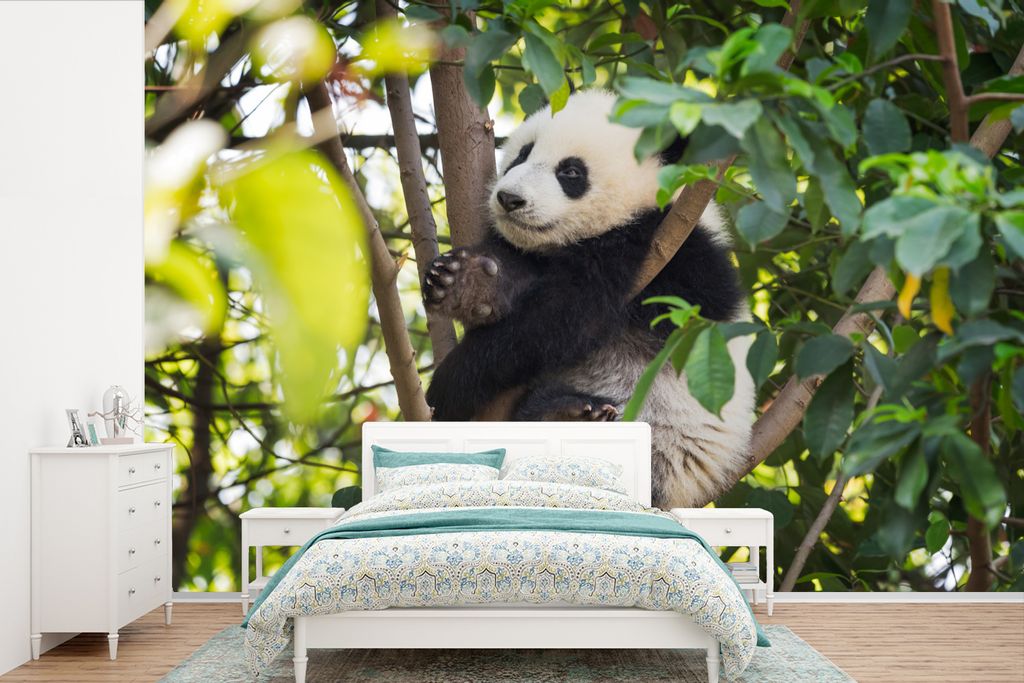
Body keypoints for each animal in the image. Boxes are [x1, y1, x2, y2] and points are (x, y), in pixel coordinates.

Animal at [422, 90, 755, 509]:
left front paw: (450, 385)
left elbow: (560, 321)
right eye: (522, 154)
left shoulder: (661, 250)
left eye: (571, 173)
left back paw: (566, 417)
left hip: (666, 444)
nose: (509, 198)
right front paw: (468, 282)